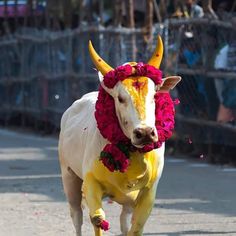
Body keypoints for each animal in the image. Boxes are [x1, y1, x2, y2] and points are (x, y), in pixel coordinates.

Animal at [58, 35, 181, 236]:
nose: (144, 133)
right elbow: (98, 219)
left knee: (124, 221)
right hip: (69, 177)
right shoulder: (91, 183)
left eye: (154, 96)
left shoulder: (148, 193)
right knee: (77, 215)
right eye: (121, 98)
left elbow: (135, 228)